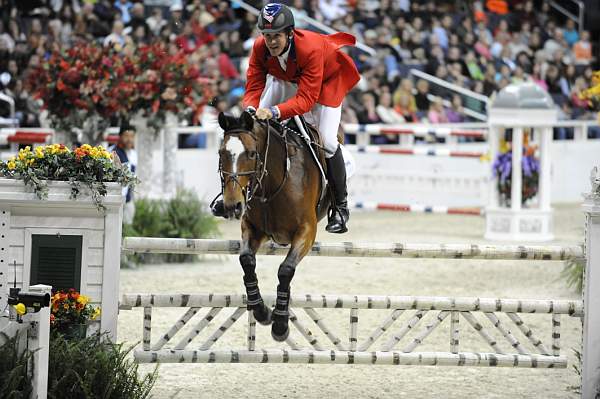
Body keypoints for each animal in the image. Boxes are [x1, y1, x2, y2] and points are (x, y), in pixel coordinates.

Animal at [216, 111, 330, 342]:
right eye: (221, 153)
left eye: (252, 153)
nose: (232, 206)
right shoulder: (252, 227)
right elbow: (246, 260)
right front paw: (261, 311)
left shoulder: (306, 231)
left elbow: (285, 269)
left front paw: (280, 324)